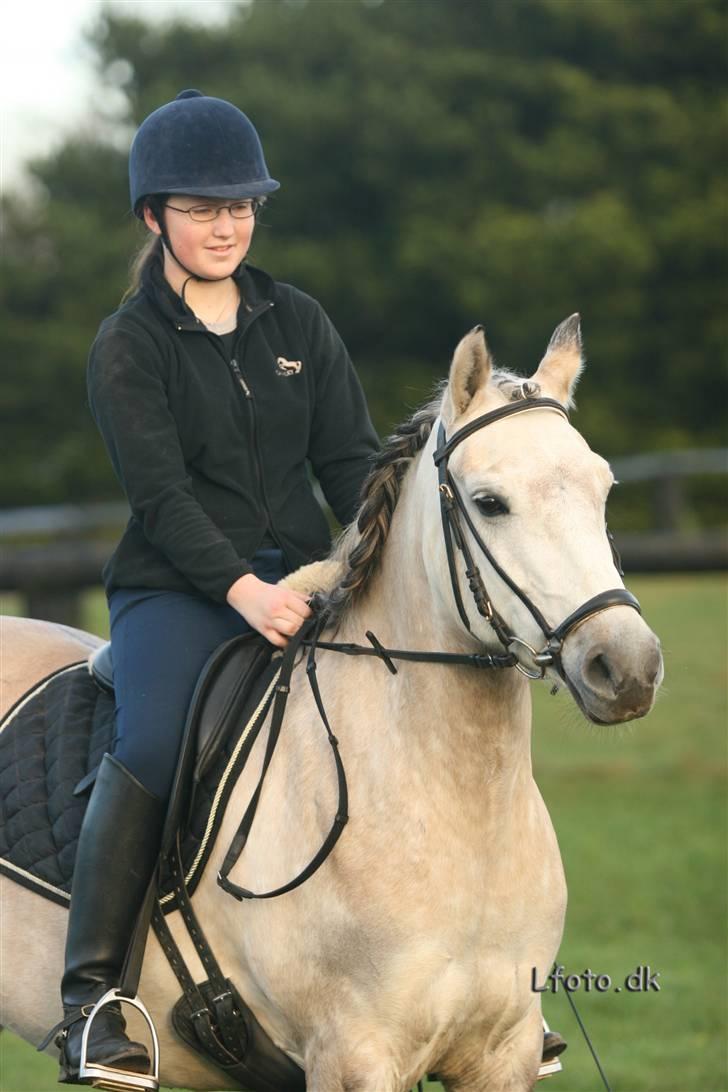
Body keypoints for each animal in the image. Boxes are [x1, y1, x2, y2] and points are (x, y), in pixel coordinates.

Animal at [0, 314, 659, 1083]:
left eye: (604, 490)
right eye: (491, 503)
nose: (628, 667)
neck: (453, 817)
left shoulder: (503, 1057)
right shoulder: (355, 1055)